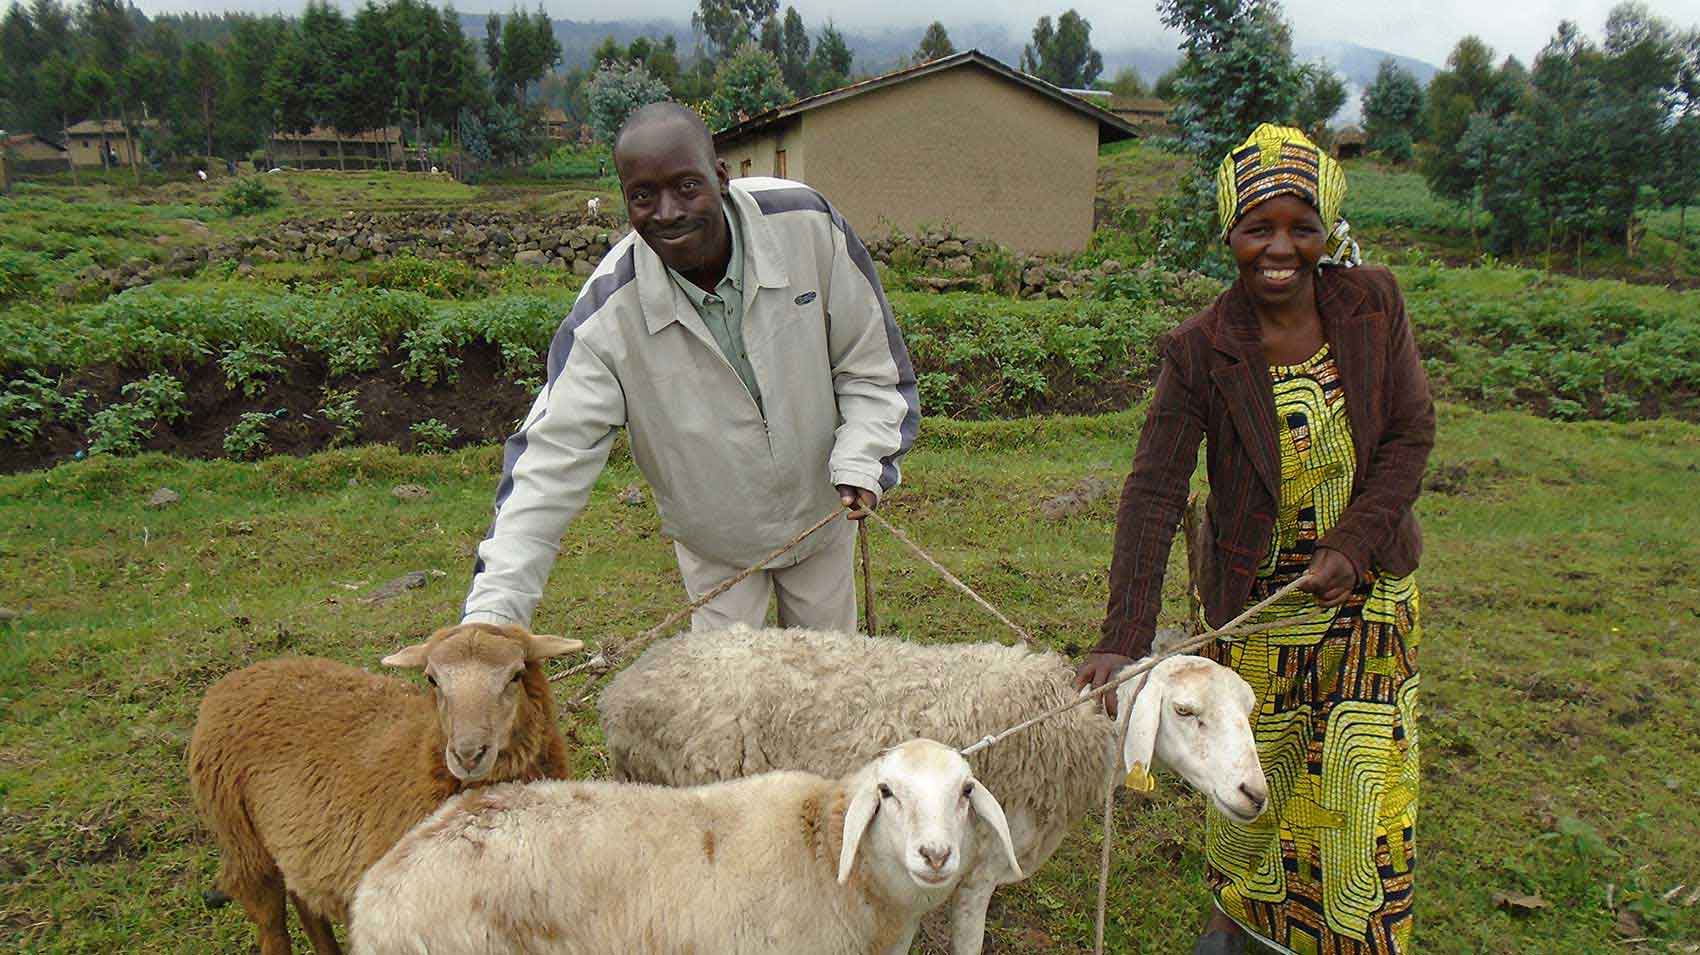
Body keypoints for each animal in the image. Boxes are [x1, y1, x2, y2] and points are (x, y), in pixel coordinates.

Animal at [187, 621, 584, 944]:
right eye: (432, 680)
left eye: (515, 675)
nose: (468, 753)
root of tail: (237, 678)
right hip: (242, 840)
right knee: (270, 919)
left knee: (305, 901)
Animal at [598, 625, 1264, 951]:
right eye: (1185, 711)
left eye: (1250, 709)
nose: (1254, 794)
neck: (1058, 722)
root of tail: (626, 691)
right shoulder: (978, 869)